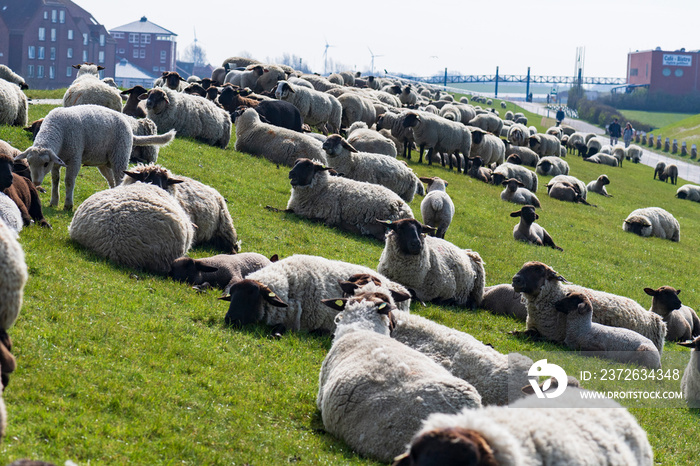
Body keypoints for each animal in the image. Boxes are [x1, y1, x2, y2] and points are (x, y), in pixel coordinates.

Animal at [15, 105, 176, 209]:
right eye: (29, 162)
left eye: (45, 163)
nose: (36, 182)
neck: (55, 130)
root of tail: (131, 132)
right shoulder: (57, 159)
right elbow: (55, 180)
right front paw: (54, 201)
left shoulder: (75, 157)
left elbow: (69, 181)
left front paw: (68, 204)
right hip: (104, 162)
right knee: (111, 181)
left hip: (120, 156)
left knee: (119, 178)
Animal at [508, 260, 668, 352]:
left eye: (538, 270)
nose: (515, 280)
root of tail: (656, 319)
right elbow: (528, 333)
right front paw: (514, 332)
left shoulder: (556, 336)